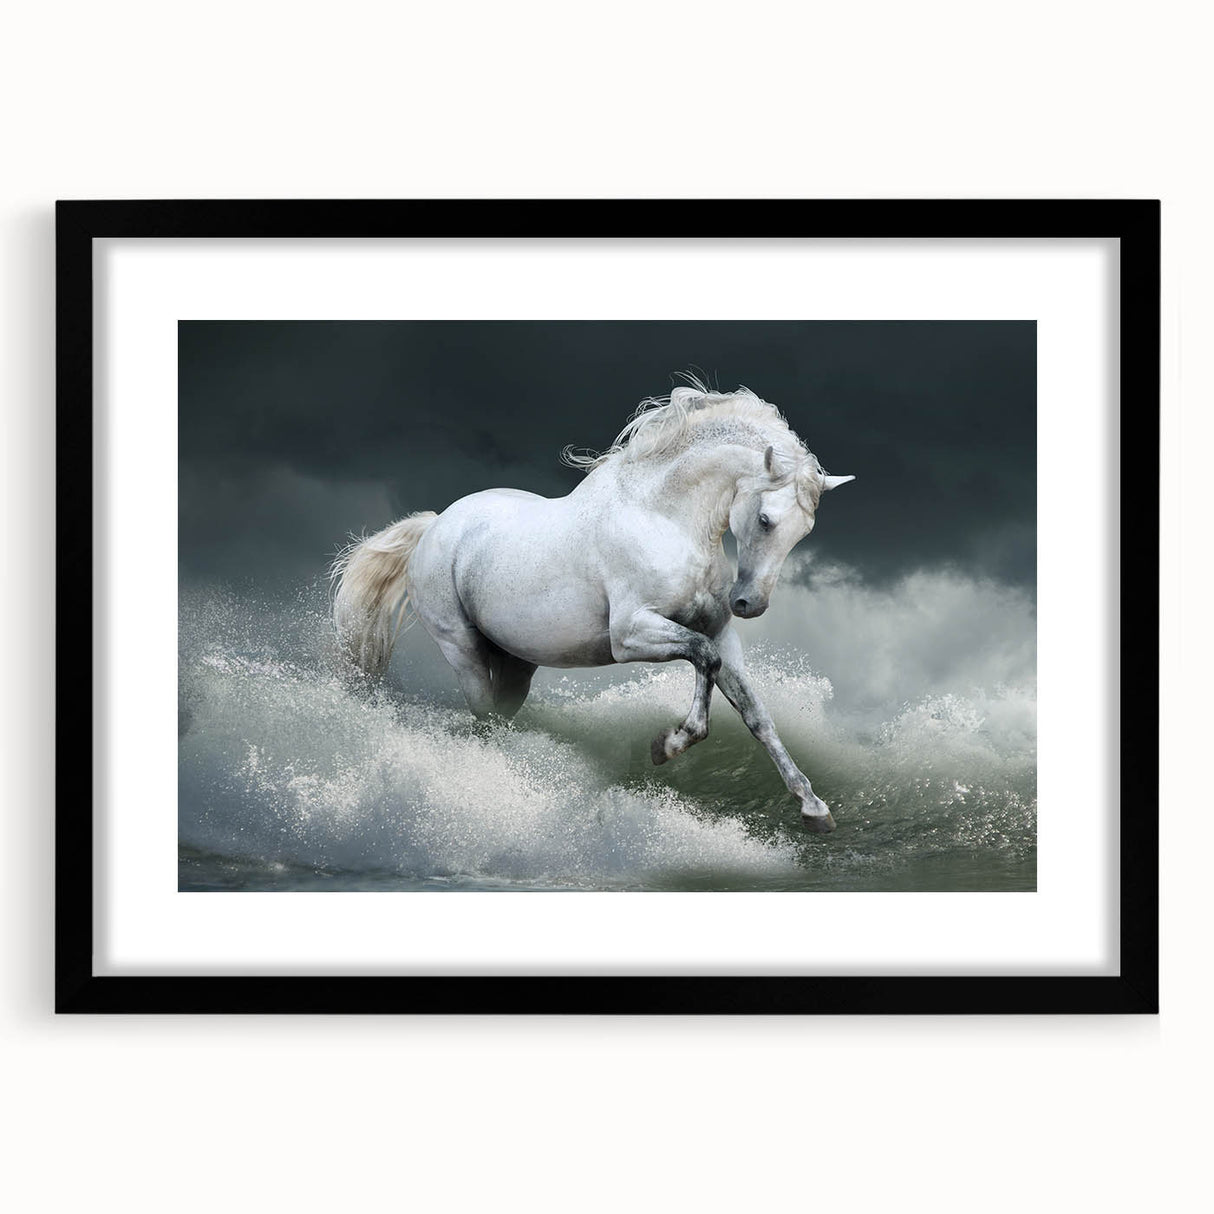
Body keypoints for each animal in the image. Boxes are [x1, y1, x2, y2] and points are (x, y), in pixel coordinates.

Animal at [331, 383, 854, 831]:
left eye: (803, 531)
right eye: (765, 520)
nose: (749, 603)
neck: (662, 518)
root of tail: (435, 525)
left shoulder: (722, 634)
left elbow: (755, 713)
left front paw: (814, 808)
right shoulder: (630, 635)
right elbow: (703, 659)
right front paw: (667, 745)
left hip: (516, 665)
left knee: (500, 715)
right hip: (462, 650)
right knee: (482, 716)